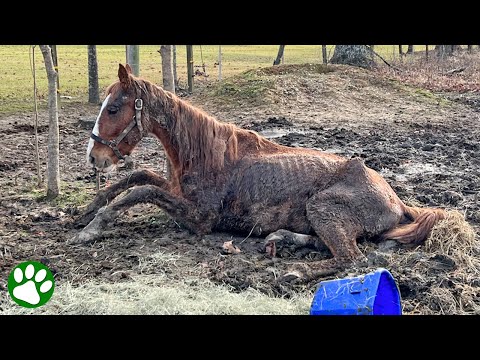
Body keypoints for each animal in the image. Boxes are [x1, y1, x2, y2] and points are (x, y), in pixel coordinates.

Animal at [72, 63, 446, 276]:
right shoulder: (174, 190)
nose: (94, 157)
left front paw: (92, 228)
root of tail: (397, 201)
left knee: (351, 258)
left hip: (322, 207)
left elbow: (141, 189)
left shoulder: (200, 219)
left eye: (114, 109)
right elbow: (137, 178)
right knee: (327, 245)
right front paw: (83, 213)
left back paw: (295, 271)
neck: (203, 154)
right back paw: (280, 239)